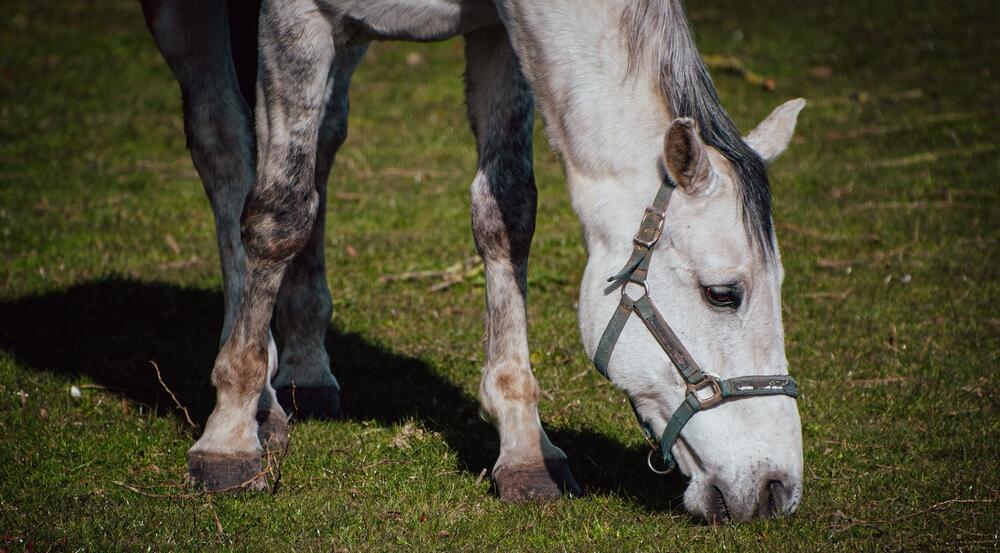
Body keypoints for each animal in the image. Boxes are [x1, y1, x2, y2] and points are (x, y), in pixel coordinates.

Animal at [141, 0, 808, 520]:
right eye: (723, 293)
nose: (777, 489)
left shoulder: (498, 33)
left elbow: (506, 212)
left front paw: (525, 447)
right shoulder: (296, 16)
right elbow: (278, 216)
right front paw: (230, 437)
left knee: (321, 144)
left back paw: (304, 366)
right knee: (227, 147)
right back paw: (257, 399)